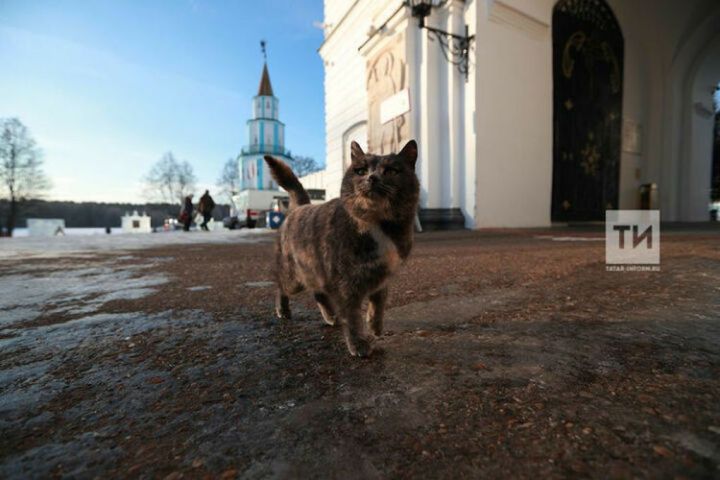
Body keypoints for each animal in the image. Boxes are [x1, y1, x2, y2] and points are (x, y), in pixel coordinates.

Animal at [262, 140, 422, 356]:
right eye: (361, 170)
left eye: (390, 170)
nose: (372, 177)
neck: (377, 223)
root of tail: (299, 207)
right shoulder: (346, 284)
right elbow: (353, 317)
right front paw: (359, 344)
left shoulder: (383, 278)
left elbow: (379, 303)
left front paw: (375, 327)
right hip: (293, 278)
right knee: (281, 286)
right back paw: (283, 310)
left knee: (318, 293)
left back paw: (331, 317)